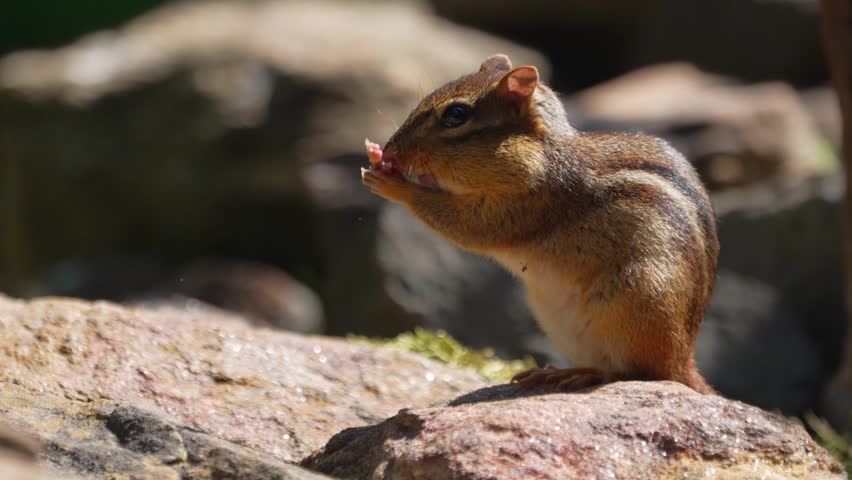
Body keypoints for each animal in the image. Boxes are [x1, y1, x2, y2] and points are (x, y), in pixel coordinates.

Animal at [362, 54, 719, 394]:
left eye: (456, 115)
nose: (392, 149)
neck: (544, 155)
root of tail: (683, 358)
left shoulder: (527, 202)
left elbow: (470, 227)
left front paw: (395, 184)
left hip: (637, 297)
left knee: (640, 372)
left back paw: (584, 374)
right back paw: (551, 371)